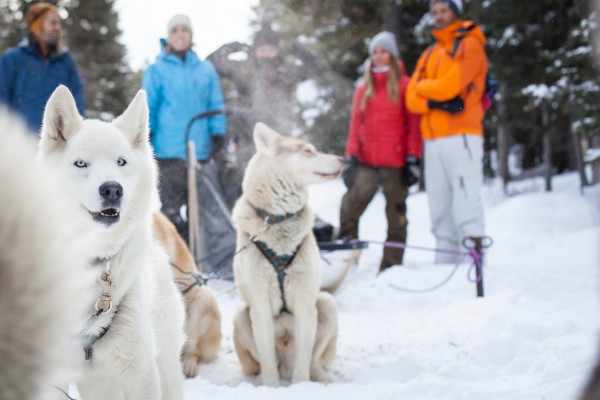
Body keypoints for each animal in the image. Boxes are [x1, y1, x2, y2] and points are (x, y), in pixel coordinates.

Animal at [231, 123, 342, 386]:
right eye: (309, 151)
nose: (343, 159)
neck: (278, 219)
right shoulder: (259, 307)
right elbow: (268, 362)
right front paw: (271, 388)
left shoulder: (305, 304)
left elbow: (303, 363)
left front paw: (300, 387)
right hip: (240, 316)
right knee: (264, 367)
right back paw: (258, 382)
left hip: (326, 303)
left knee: (313, 363)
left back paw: (322, 377)